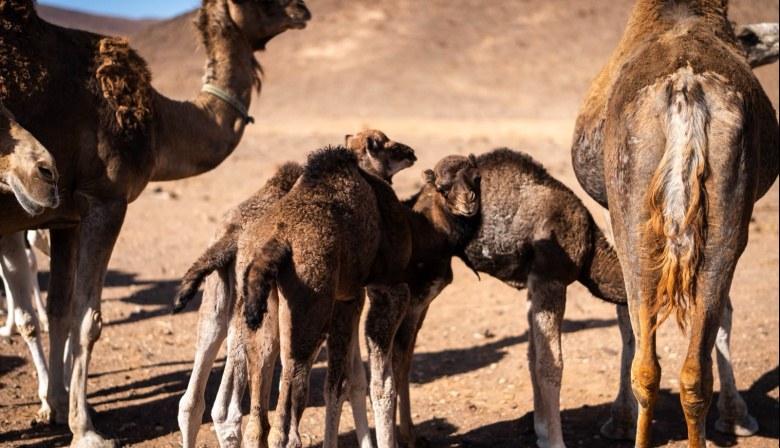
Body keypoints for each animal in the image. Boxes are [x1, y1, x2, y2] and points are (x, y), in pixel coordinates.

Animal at [0, 1, 310, 446]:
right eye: (260, 2)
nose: (302, 10)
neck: (159, 122)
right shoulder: (106, 199)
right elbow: (86, 320)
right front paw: (85, 429)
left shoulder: (63, 216)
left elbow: (58, 310)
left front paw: (56, 407)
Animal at [172, 130, 416, 448]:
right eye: (386, 144)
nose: (410, 152)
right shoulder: (381, 290)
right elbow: (366, 384)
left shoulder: (348, 298)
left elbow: (353, 379)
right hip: (305, 316)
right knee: (277, 419)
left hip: (232, 307)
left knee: (209, 405)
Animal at [571, 1, 779, 447]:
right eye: (749, 40)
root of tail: (686, 90)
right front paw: (737, 417)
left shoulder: (612, 213)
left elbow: (625, 321)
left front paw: (617, 421)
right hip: (724, 218)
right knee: (691, 369)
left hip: (633, 216)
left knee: (649, 363)